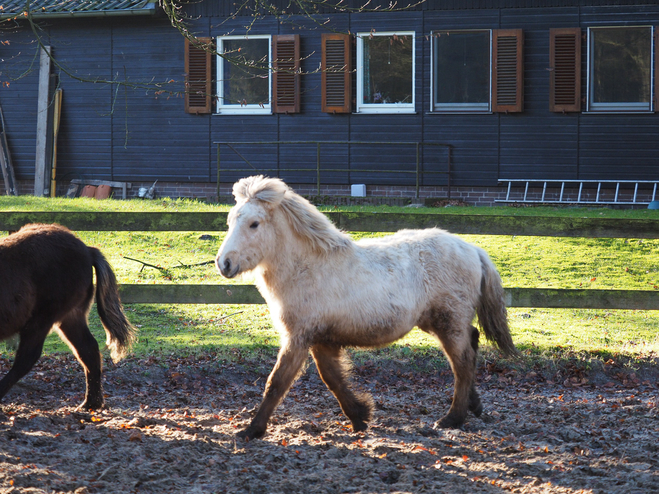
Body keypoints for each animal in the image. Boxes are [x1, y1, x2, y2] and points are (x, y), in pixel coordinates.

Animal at [0, 224, 136, 410]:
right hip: (69, 318)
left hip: (41, 320)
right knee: (88, 349)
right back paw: (90, 403)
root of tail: (87, 250)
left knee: (26, 359)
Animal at [217, 175, 516, 440]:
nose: (224, 263)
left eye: (254, 224)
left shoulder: (299, 337)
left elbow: (277, 382)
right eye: (230, 221)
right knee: (472, 344)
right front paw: (361, 415)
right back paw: (473, 406)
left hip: (448, 321)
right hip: (438, 322)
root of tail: (473, 249)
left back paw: (452, 418)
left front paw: (251, 431)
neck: (307, 267)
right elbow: (332, 378)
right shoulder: (321, 339)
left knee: (463, 362)